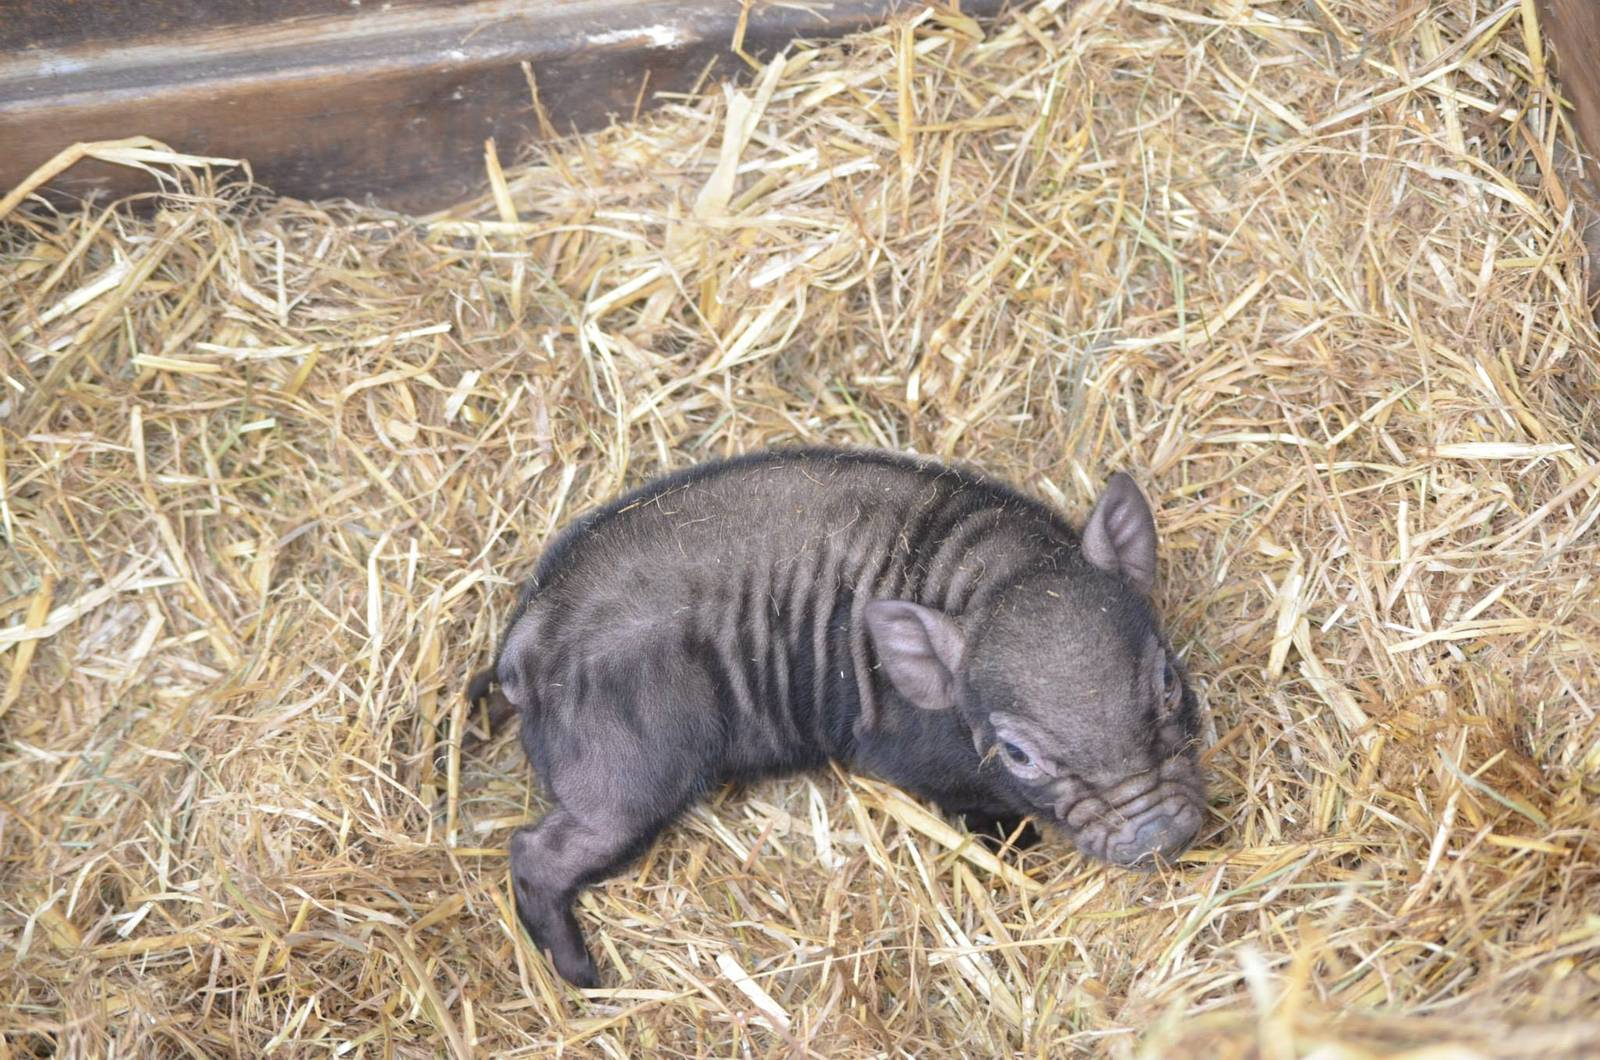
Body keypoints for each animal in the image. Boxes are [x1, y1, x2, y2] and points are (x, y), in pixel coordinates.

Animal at [467, 447, 1205, 987]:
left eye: (1169, 683)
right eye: (1019, 753)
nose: (1157, 833)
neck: (991, 578)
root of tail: (523, 642)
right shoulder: (906, 758)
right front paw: (1010, 847)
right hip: (620, 781)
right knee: (535, 852)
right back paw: (588, 979)